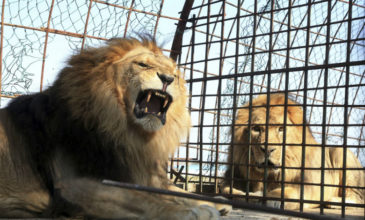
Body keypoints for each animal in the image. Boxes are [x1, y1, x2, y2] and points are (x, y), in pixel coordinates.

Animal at [0, 37, 226, 218]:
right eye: (142, 65)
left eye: (175, 75)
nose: (167, 78)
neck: (127, 133)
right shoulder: (72, 184)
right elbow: (139, 198)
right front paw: (191, 211)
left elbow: (171, 190)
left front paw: (214, 201)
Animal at [219, 93, 364, 210]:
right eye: (256, 129)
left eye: (281, 129)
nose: (268, 149)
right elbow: (226, 189)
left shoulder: (309, 185)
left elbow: (283, 192)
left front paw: (264, 197)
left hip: (341, 153)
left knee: (359, 197)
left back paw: (334, 202)